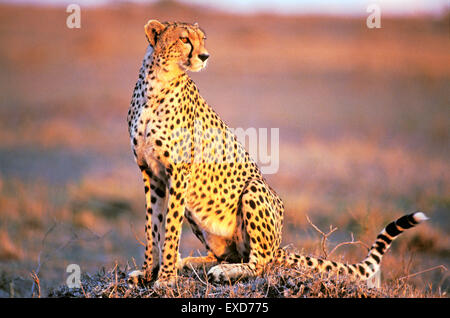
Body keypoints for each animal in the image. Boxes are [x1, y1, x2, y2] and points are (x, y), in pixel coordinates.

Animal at [125, 19, 426, 288]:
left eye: (203, 39)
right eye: (185, 39)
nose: (204, 56)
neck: (156, 85)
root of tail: (278, 244)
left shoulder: (178, 172)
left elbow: (170, 229)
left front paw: (165, 278)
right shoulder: (151, 173)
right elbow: (154, 226)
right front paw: (149, 272)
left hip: (253, 189)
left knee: (260, 262)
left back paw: (222, 272)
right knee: (228, 254)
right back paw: (190, 263)